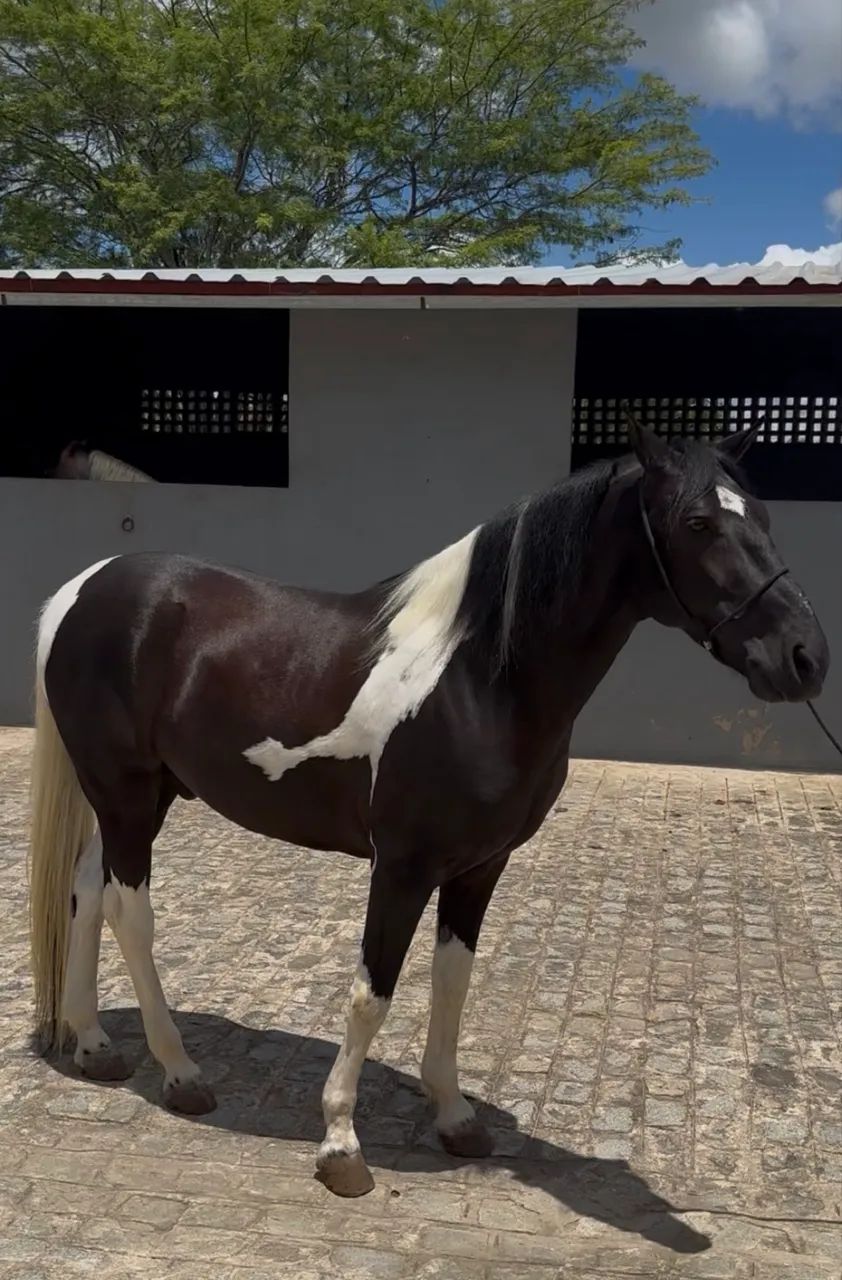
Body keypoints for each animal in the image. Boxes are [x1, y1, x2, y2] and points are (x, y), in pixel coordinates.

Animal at [28, 420, 829, 1198]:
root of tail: (82, 589)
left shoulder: (478, 868)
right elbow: (371, 993)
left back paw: (94, 1044)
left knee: (87, 891)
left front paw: (454, 1115)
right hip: (125, 792)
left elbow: (453, 982)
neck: (478, 678)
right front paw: (341, 1142)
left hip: (144, 795)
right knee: (130, 912)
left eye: (761, 516)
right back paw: (181, 1073)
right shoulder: (403, 867)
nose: (806, 657)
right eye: (697, 522)